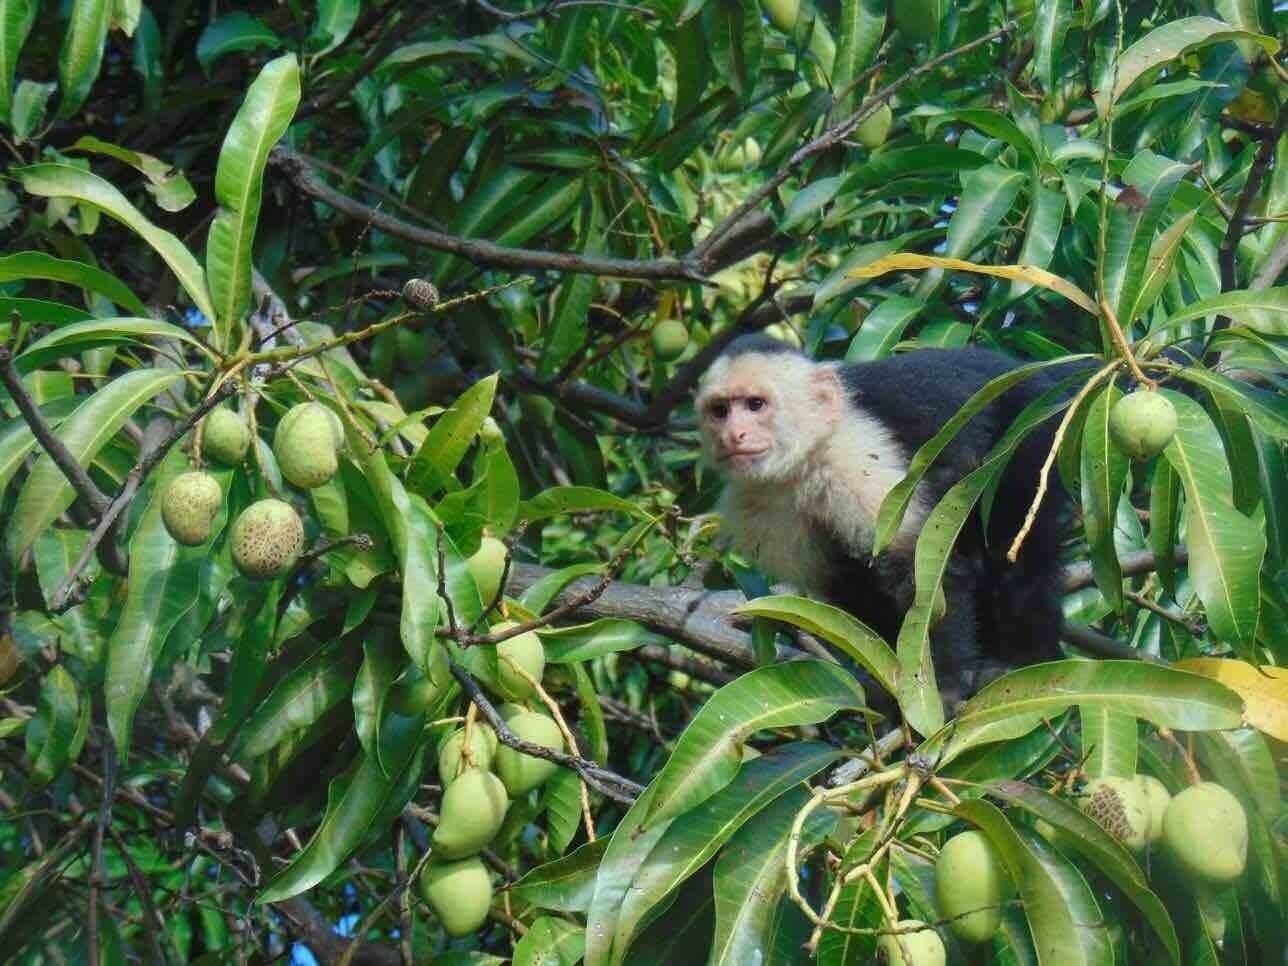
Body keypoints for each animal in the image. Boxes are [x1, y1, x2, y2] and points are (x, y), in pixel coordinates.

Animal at [696, 335, 1074, 702]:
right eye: (720, 411)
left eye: (755, 404)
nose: (734, 435)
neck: (804, 462)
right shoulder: (756, 506)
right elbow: (850, 588)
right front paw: (894, 680)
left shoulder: (855, 453)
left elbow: (918, 572)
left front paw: (943, 687)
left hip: (1032, 424)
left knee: (1014, 546)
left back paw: (1021, 659)